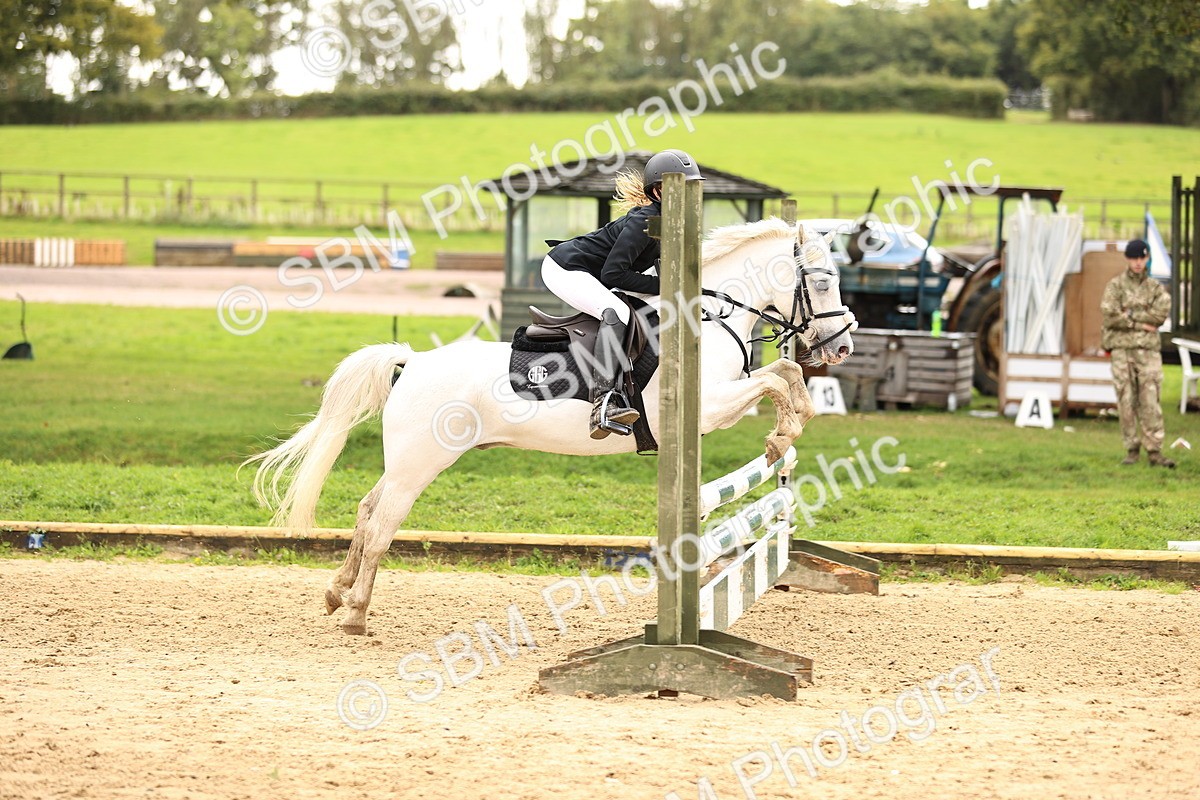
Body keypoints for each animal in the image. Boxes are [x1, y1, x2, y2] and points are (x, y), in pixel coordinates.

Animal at [246, 218, 856, 634]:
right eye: (824, 281)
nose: (842, 348)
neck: (706, 317)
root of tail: (413, 361)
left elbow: (784, 376)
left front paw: (787, 433)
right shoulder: (707, 408)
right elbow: (775, 383)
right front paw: (780, 437)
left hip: (406, 463)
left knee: (366, 510)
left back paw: (336, 594)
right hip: (419, 465)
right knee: (381, 526)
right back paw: (356, 614)